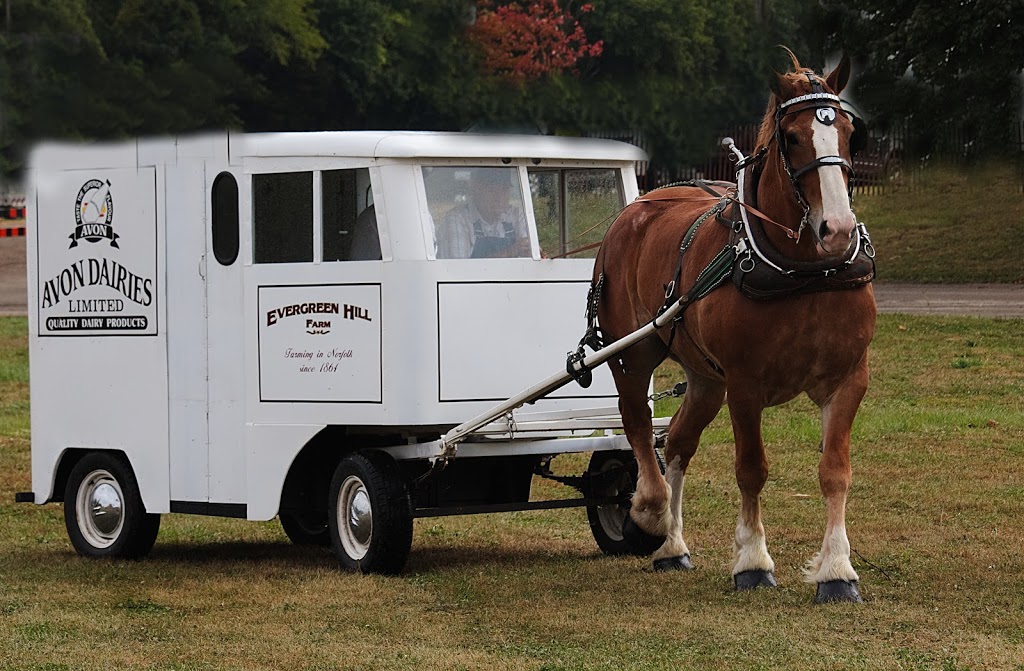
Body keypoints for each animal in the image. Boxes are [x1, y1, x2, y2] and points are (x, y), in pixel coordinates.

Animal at [598, 49, 876, 602]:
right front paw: (752, 559)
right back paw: (650, 509)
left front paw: (837, 569)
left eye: (849, 132)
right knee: (637, 422)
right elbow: (752, 469)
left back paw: (673, 546)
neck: (802, 272)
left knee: (678, 443)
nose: (836, 229)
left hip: (707, 379)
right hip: (633, 353)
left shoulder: (848, 379)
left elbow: (835, 471)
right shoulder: (746, 385)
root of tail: (640, 205)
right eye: (791, 136)